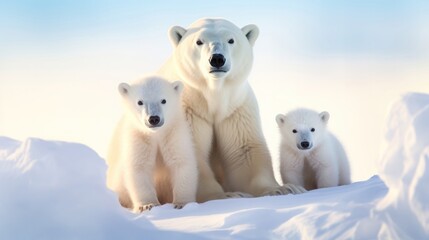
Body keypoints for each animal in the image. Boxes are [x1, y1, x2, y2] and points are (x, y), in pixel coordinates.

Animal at [158, 18, 304, 202]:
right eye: (199, 41)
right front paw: (225, 195)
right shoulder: (186, 110)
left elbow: (244, 151)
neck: (214, 95)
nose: (217, 59)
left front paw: (283, 189)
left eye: (231, 40)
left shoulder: (236, 110)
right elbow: (191, 152)